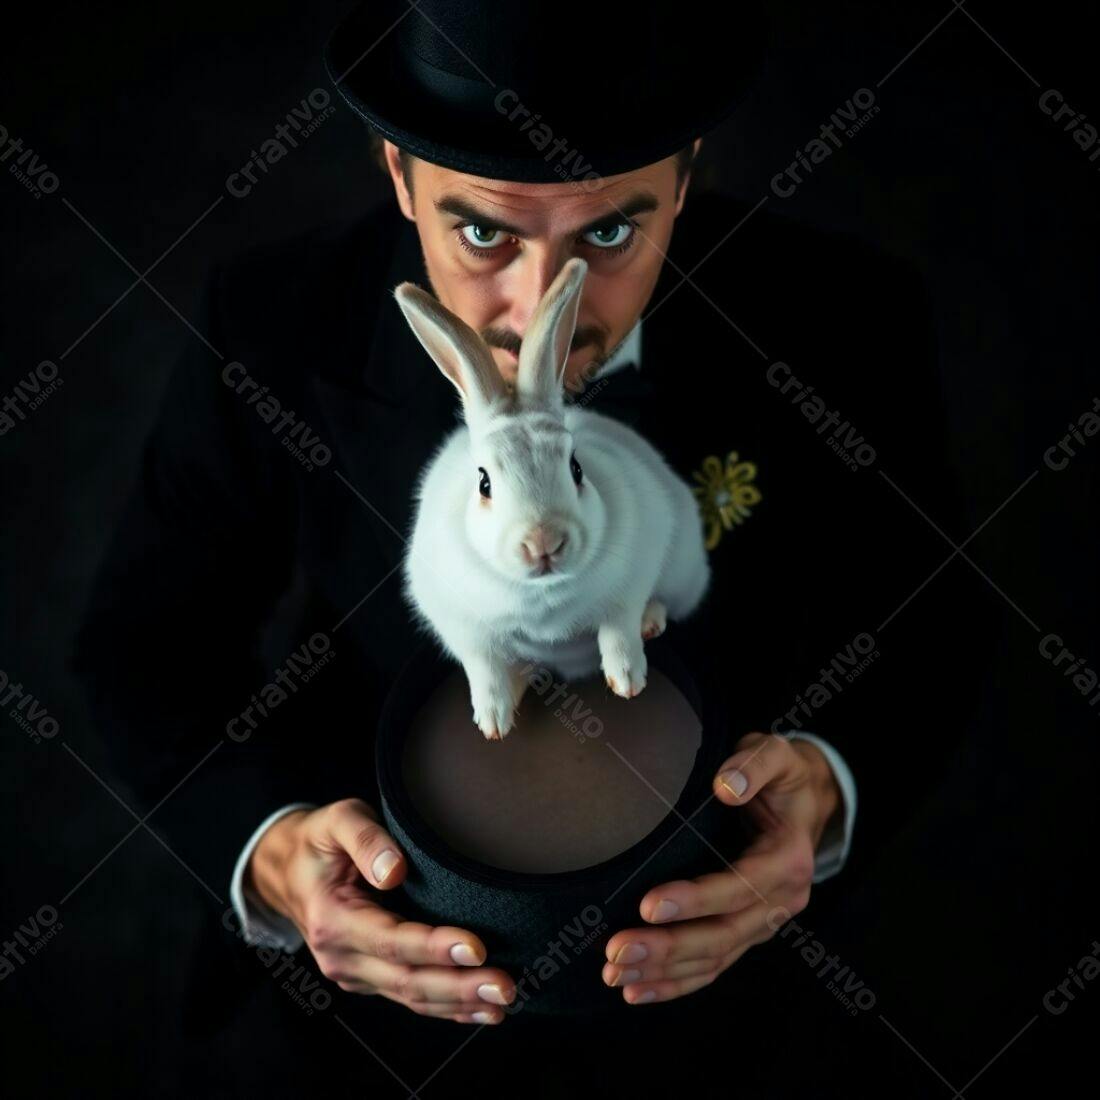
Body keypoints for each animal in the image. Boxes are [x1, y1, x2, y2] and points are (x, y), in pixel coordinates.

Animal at [392, 256, 711, 740]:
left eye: (576, 468)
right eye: (484, 483)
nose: (544, 542)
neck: (541, 595)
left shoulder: (631, 578)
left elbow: (619, 627)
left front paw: (627, 681)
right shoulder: (460, 625)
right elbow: (482, 665)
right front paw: (494, 720)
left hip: (685, 568)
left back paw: (652, 622)